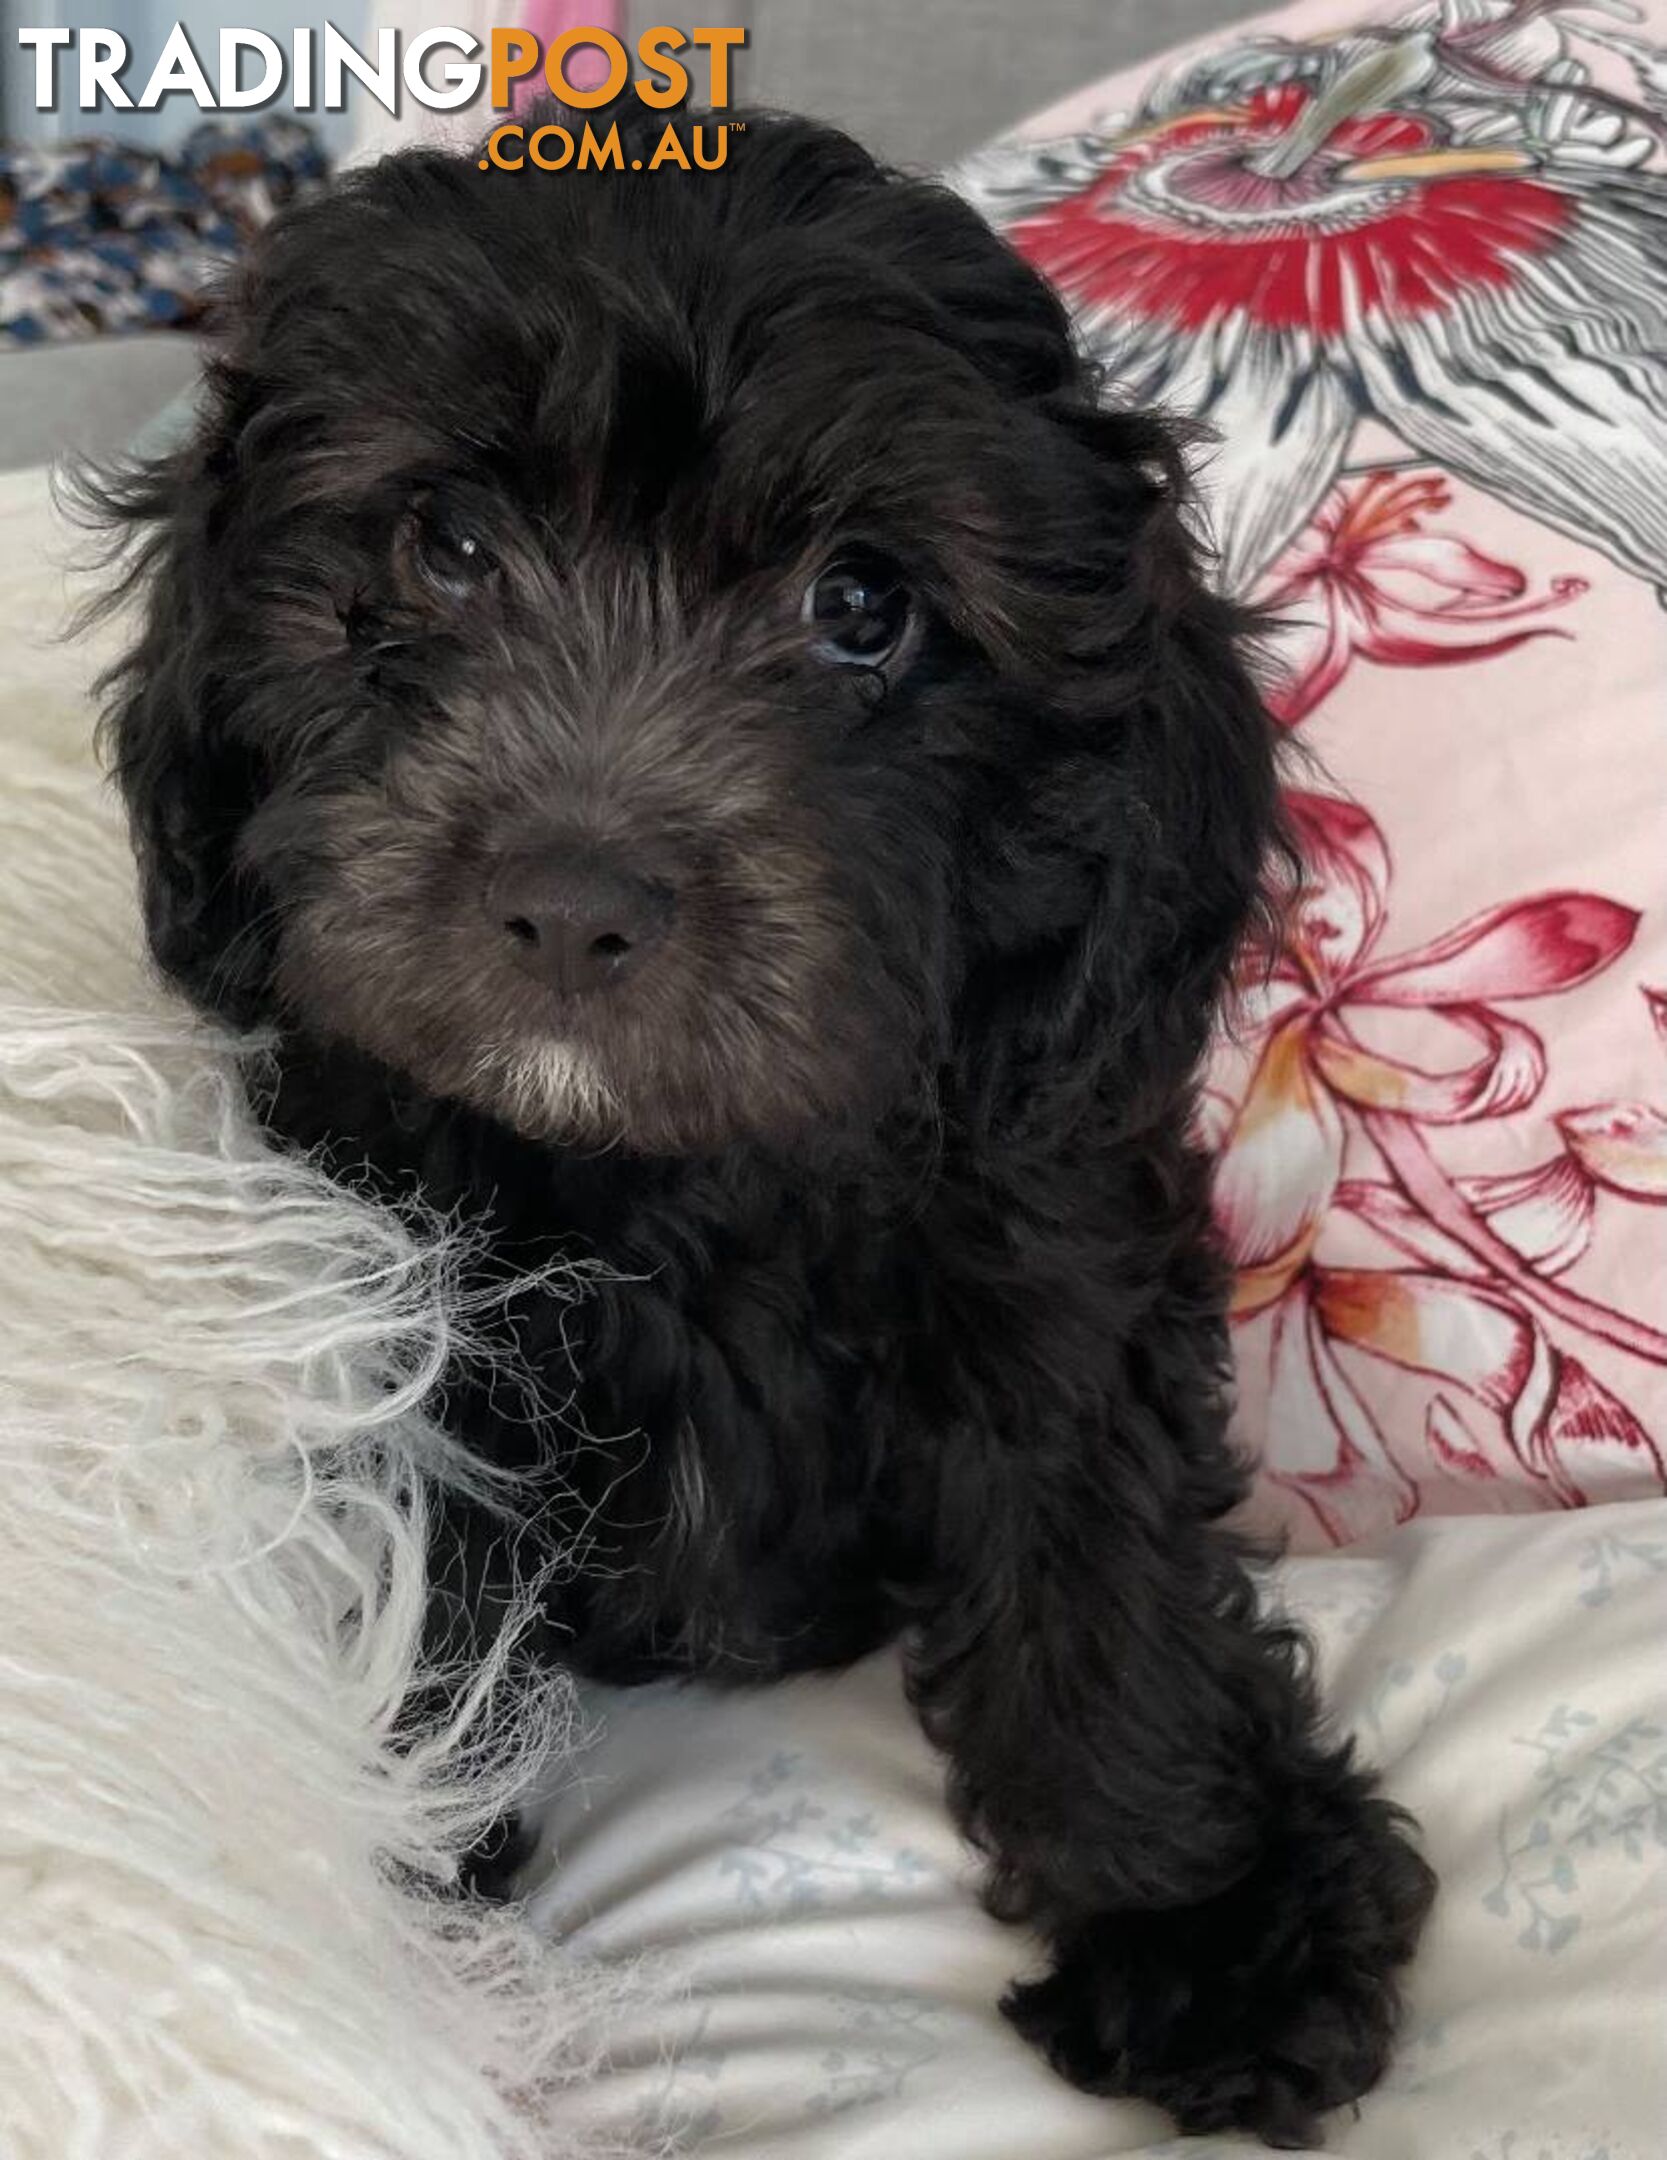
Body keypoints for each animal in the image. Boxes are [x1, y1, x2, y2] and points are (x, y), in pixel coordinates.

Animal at [97, 105, 1433, 2142]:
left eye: (862, 607)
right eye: (446, 543)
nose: (572, 901)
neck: (671, 1175)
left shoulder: (1046, 1241)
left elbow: (1096, 1552)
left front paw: (1201, 1917)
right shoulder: (393, 1302)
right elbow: (413, 1618)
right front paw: (384, 1961)